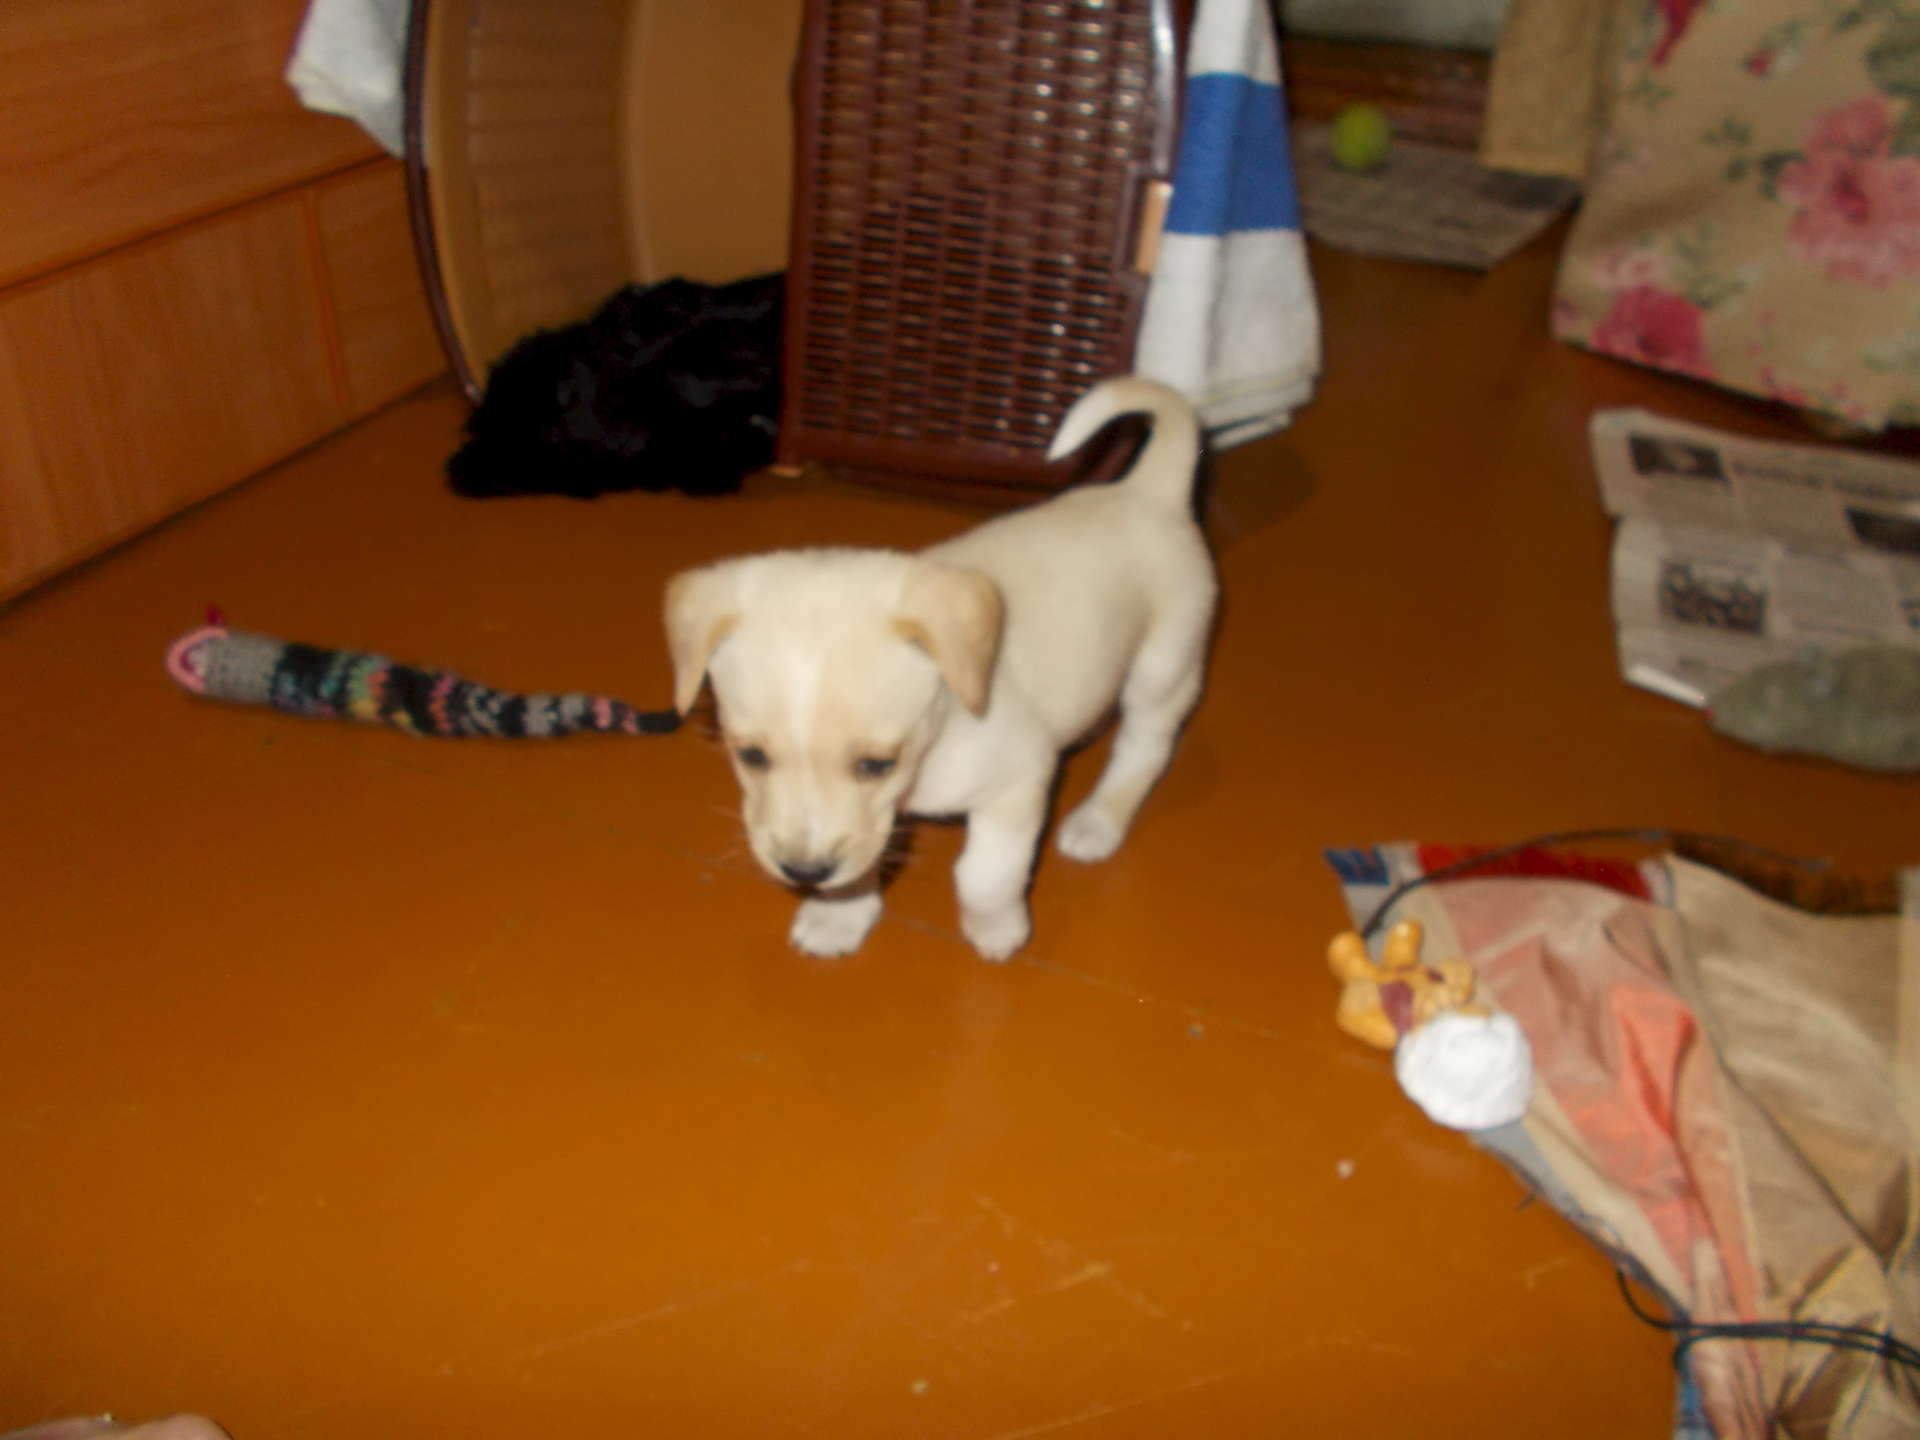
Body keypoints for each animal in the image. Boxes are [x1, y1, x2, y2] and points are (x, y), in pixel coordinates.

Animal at [664, 377, 1216, 961]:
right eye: (750, 756)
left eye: (877, 764)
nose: (804, 872)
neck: (937, 738)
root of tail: (1147, 491)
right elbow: (863, 862)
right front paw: (838, 916)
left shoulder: (1017, 780)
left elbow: (984, 875)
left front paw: (996, 929)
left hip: (1162, 671)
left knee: (1143, 750)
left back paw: (1098, 821)